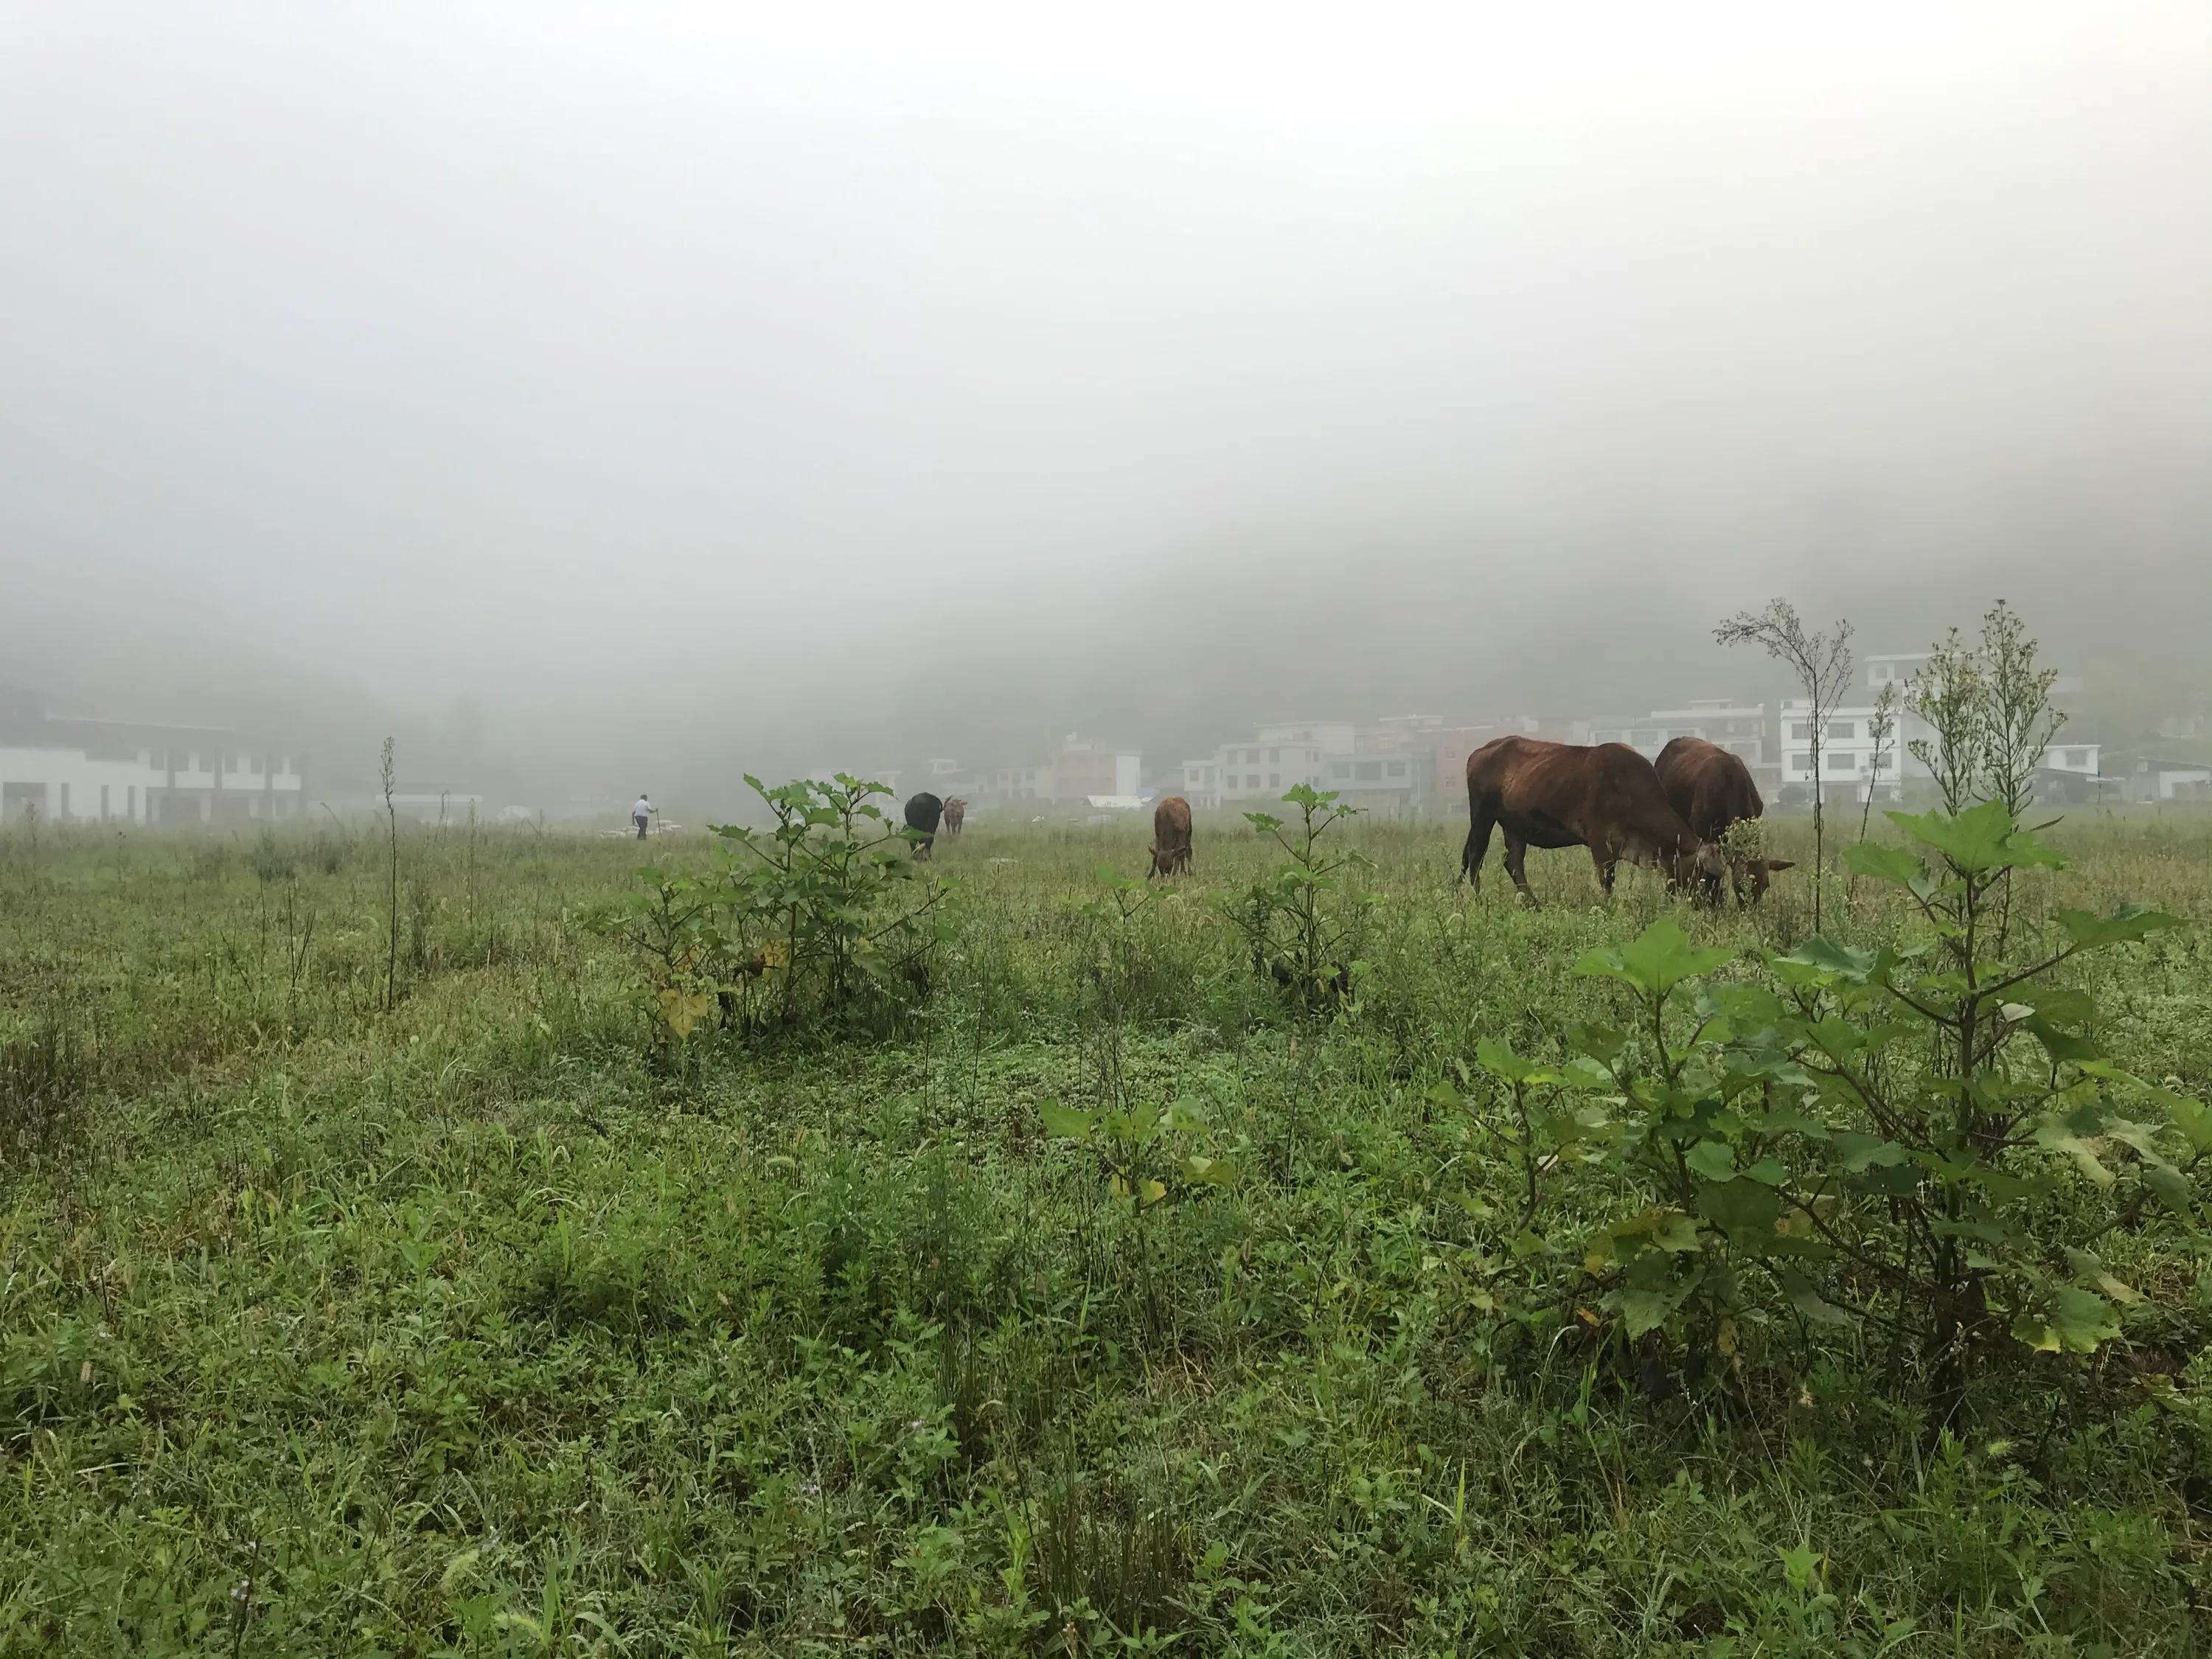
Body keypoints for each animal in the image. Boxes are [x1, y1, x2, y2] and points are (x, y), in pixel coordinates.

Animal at [1469, 739, 1725, 911]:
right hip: (1482, 818)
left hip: (1514, 827)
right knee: (1475, 857)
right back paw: (1477, 900)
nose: (1717, 906)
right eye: (1706, 875)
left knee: (1513, 863)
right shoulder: (1600, 842)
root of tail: (1484, 749)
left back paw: (1533, 903)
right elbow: (1607, 881)